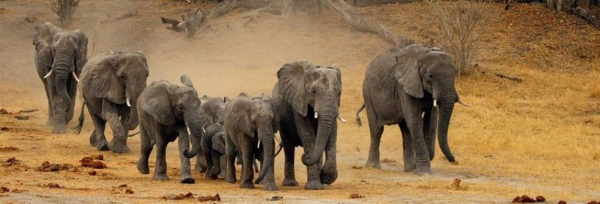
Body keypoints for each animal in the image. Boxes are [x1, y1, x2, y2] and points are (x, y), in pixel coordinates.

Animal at [272, 60, 342, 190]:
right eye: (313, 92)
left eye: (338, 93)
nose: (305, 156)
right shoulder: (299, 101)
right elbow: (308, 136)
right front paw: (314, 187)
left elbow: (331, 137)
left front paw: (325, 178)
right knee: (288, 147)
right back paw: (290, 184)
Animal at [354, 43, 466, 175]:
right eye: (430, 76)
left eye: (454, 75)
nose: (454, 161)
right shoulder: (403, 87)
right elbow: (415, 121)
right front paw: (423, 172)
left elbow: (430, 122)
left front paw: (418, 167)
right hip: (367, 92)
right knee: (377, 129)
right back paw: (373, 167)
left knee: (405, 129)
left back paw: (409, 169)